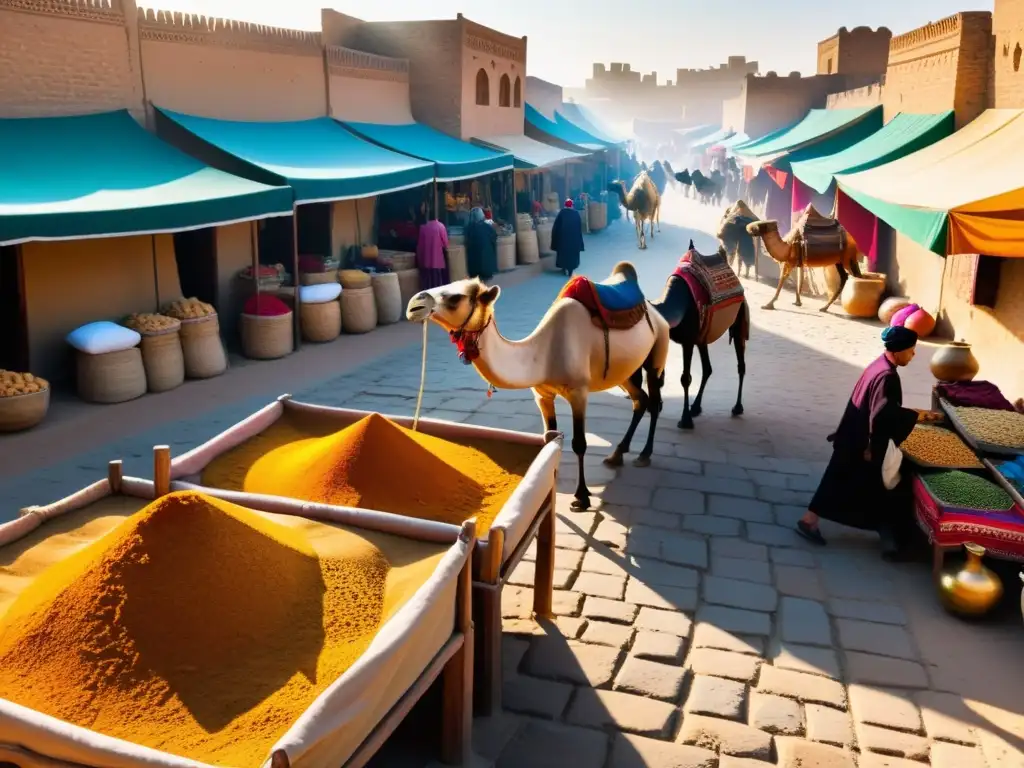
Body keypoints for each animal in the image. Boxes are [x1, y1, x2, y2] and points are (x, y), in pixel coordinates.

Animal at [407, 264, 671, 512]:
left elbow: (579, 443)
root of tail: (655, 310)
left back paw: (644, 454)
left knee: (654, 401)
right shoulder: (542, 394)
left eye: (455, 298)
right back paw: (617, 454)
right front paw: (547, 481)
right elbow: (548, 437)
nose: (413, 305)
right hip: (624, 372)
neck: (542, 353)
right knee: (640, 400)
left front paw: (581, 497)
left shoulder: (579, 392)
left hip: (658, 350)